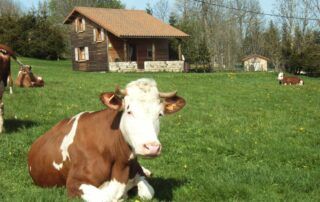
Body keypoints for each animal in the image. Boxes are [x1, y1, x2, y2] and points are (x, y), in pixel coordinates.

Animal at [29, 78, 188, 201]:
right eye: (129, 111)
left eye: (160, 114)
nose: (152, 147)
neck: (120, 161)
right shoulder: (75, 182)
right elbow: (106, 198)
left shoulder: (137, 172)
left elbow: (148, 193)